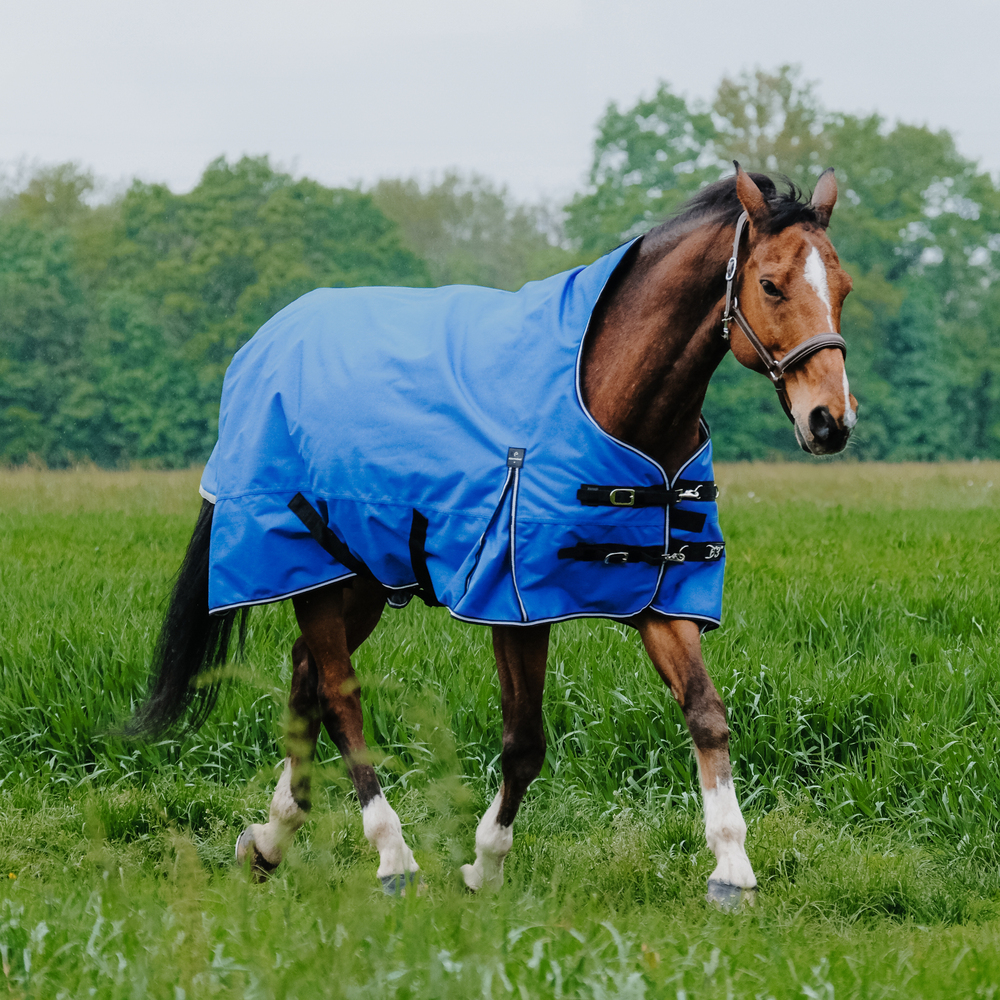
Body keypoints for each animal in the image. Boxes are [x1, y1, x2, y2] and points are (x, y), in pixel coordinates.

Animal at [128, 165, 855, 908]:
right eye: (771, 284)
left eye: (843, 287)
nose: (831, 421)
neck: (612, 398)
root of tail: (265, 343)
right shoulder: (517, 605)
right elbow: (524, 740)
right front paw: (486, 863)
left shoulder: (657, 591)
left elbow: (707, 713)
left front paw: (731, 868)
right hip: (311, 569)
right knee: (337, 695)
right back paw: (391, 855)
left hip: (358, 574)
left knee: (306, 675)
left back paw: (271, 840)